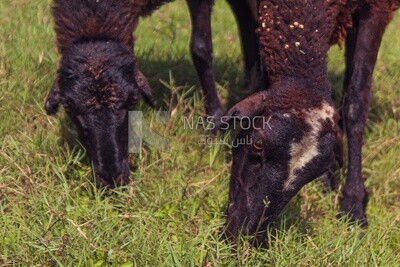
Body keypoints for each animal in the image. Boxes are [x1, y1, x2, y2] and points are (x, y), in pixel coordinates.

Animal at [223, 0, 398, 243]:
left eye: (310, 175)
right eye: (257, 145)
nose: (243, 233)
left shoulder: (378, 8)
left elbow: (356, 101)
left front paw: (353, 206)